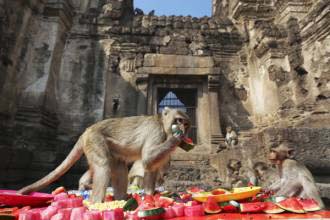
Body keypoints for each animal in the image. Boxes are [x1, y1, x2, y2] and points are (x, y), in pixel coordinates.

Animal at [19, 107, 191, 203]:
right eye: (178, 120)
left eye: (186, 123)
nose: (184, 130)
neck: (162, 124)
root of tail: (86, 131)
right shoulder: (156, 131)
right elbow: (148, 159)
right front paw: (175, 139)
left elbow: (150, 167)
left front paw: (150, 194)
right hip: (94, 140)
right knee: (103, 166)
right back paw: (96, 203)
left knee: (119, 168)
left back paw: (122, 198)